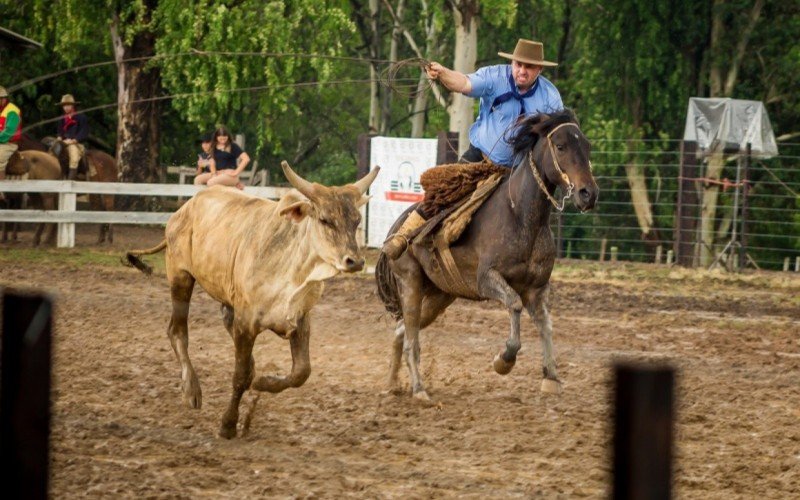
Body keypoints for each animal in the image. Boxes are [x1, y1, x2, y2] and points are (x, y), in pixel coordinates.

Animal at [126, 161, 380, 438]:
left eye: (356, 220)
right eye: (325, 219)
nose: (355, 261)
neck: (292, 272)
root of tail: (183, 210)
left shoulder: (300, 319)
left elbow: (301, 372)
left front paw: (262, 382)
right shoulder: (246, 324)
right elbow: (239, 375)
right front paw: (228, 424)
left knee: (224, 319)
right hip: (180, 277)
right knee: (177, 331)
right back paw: (192, 390)